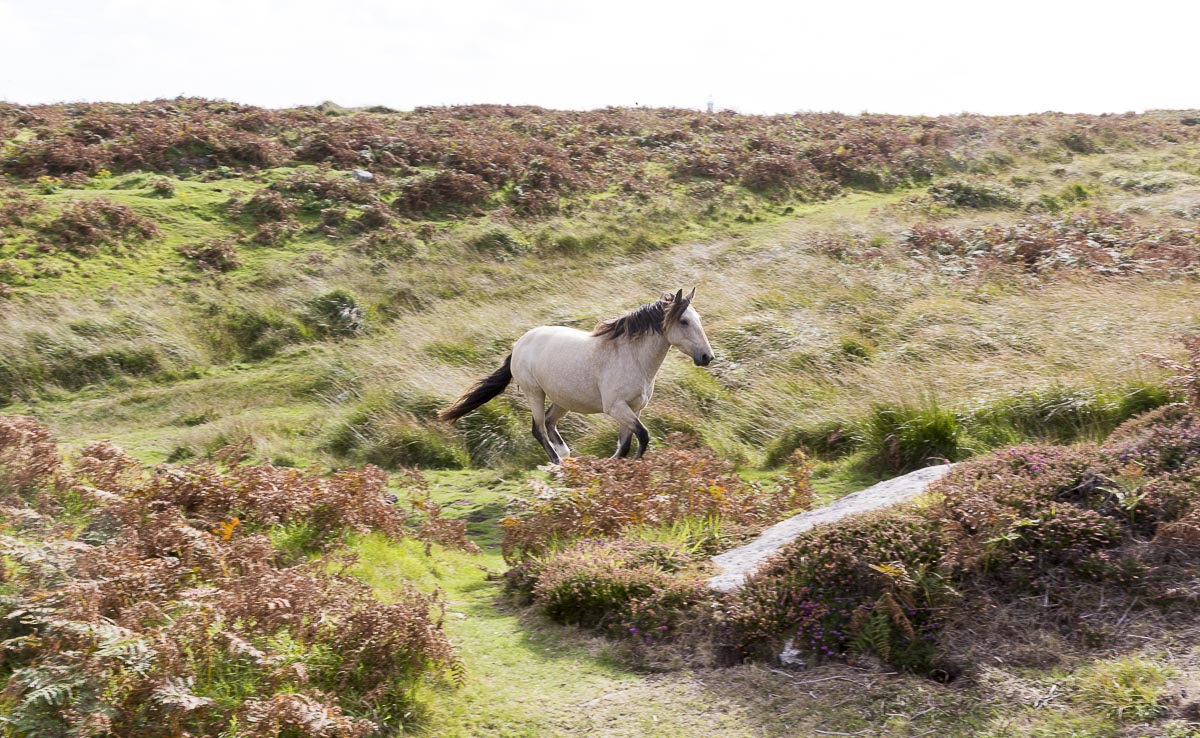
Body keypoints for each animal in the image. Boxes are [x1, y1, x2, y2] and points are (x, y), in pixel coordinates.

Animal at [438, 288, 715, 462]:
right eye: (684, 322)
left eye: (698, 319)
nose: (707, 357)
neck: (631, 356)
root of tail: (518, 345)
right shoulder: (616, 407)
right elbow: (642, 437)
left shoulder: (634, 408)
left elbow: (627, 442)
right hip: (534, 393)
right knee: (539, 428)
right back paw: (558, 463)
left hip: (562, 400)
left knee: (550, 423)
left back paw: (566, 454)